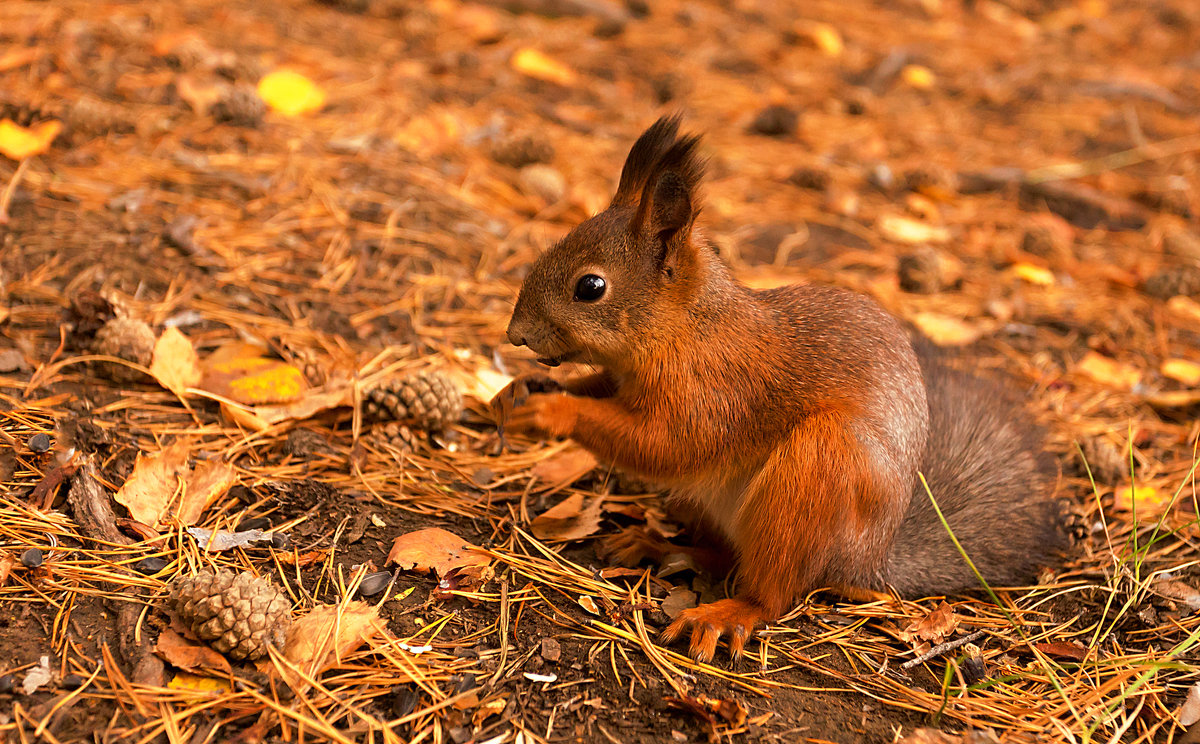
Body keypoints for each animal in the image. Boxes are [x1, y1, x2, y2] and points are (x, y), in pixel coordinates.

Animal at [489, 117, 1070, 662]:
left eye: (590, 287)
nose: (515, 334)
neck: (686, 328)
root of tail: (870, 562)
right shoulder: (621, 379)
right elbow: (599, 392)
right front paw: (520, 390)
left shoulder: (718, 391)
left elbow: (667, 445)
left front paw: (552, 412)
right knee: (726, 555)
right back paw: (659, 546)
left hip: (815, 473)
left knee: (774, 592)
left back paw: (726, 613)